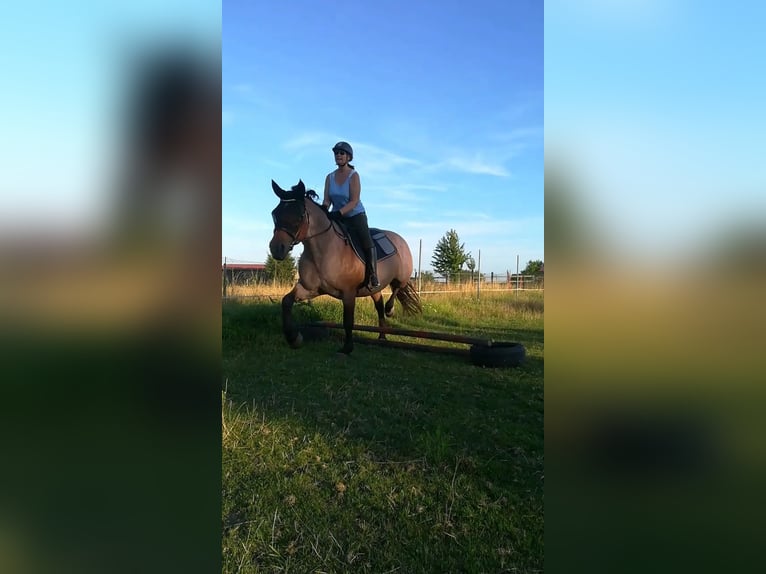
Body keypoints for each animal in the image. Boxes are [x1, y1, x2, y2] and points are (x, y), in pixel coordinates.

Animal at [269, 179, 422, 354]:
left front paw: (347, 348)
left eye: (300, 215)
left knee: (396, 289)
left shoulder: (348, 293)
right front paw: (293, 338)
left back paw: (390, 310)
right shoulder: (309, 289)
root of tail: (399, 238)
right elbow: (286, 302)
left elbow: (348, 320)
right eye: (275, 214)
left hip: (401, 276)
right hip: (374, 288)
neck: (323, 251)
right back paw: (382, 336)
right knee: (379, 305)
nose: (276, 249)